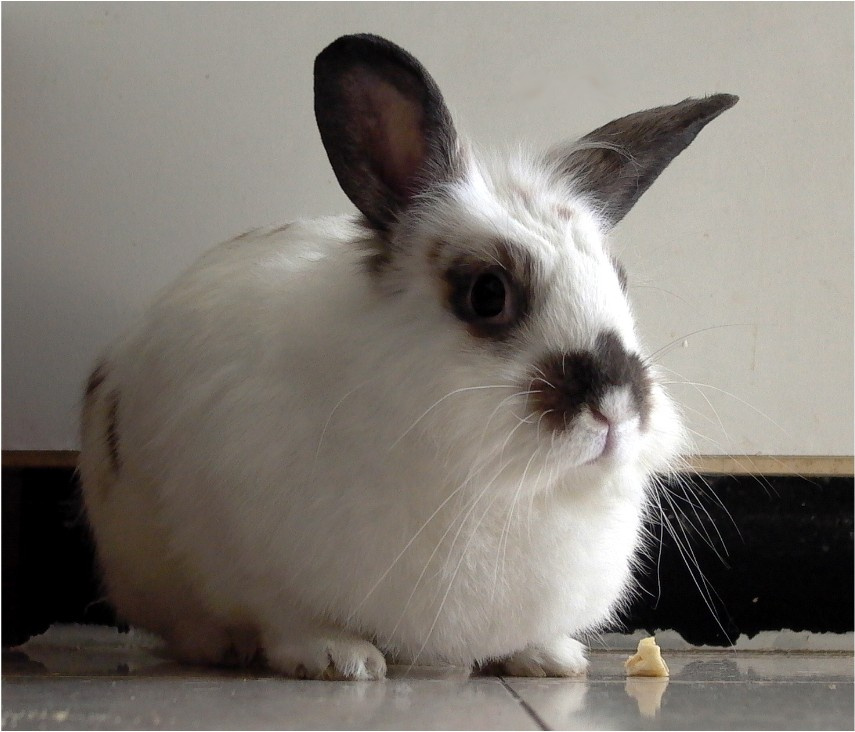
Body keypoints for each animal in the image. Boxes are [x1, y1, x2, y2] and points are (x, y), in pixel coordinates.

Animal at [79, 33, 737, 680]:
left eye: (619, 281)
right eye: (487, 293)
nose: (615, 407)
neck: (504, 484)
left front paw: (551, 659)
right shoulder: (254, 560)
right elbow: (290, 618)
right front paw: (339, 658)